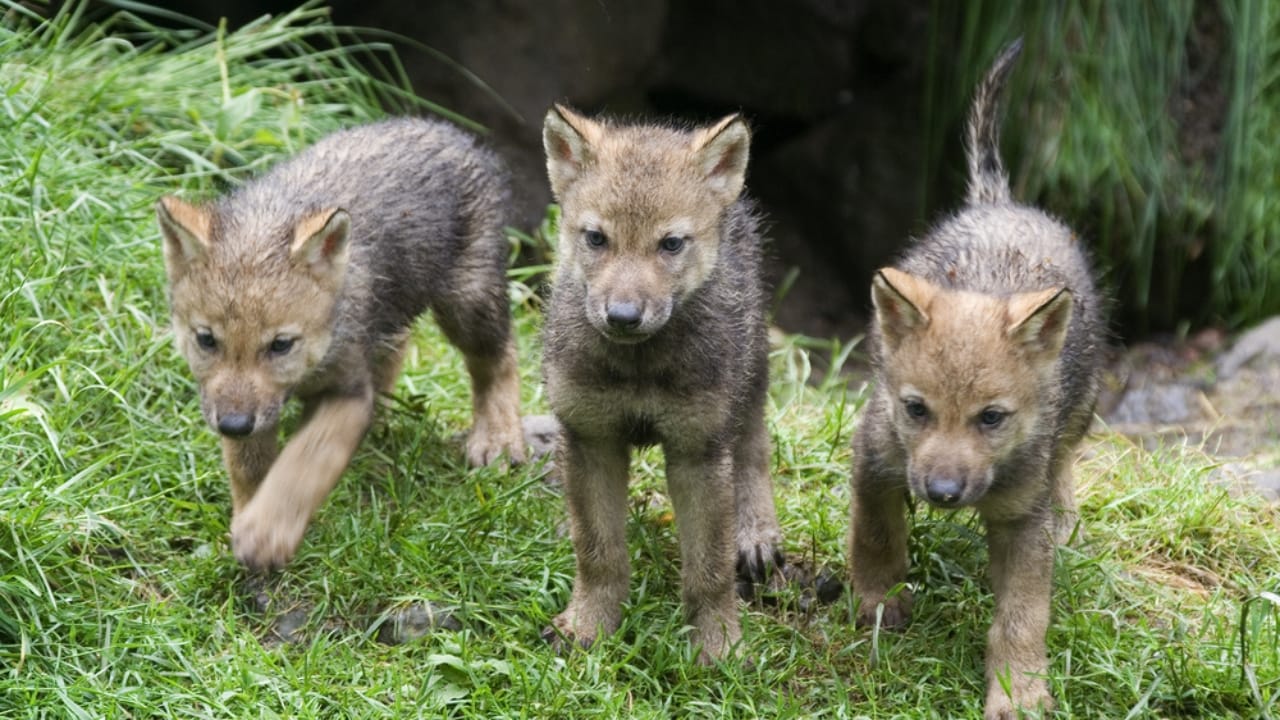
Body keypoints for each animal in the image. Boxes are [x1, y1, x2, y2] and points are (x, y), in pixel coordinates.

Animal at [156, 117, 525, 572]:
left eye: (281, 345)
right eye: (206, 339)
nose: (234, 426)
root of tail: (450, 130)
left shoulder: (347, 393)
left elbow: (304, 463)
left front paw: (267, 531)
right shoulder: (245, 406)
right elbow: (250, 470)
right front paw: (247, 521)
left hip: (468, 303)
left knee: (501, 356)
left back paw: (499, 439)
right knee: (400, 347)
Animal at [539, 105, 784, 663]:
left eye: (670, 244)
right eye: (596, 238)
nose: (623, 316)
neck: (639, 368)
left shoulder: (698, 450)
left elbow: (709, 570)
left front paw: (719, 646)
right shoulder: (590, 437)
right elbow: (598, 552)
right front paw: (587, 626)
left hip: (750, 375)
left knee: (754, 449)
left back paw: (756, 533)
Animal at [846, 39, 1104, 718]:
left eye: (991, 418)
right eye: (916, 409)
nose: (941, 492)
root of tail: (999, 203)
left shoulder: (1020, 521)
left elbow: (1021, 617)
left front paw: (1019, 690)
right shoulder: (875, 459)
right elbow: (877, 538)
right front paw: (878, 603)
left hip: (1081, 409)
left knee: (1066, 462)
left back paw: (1069, 519)